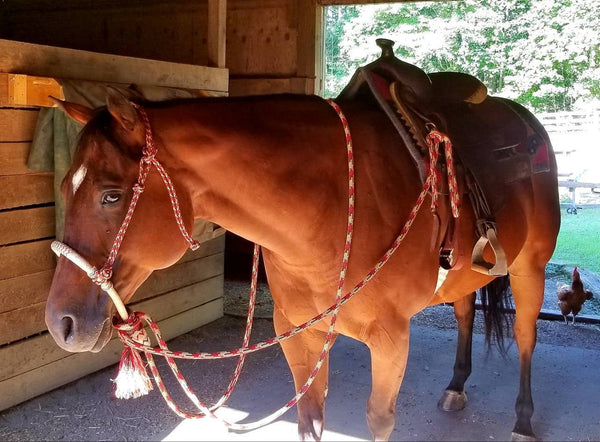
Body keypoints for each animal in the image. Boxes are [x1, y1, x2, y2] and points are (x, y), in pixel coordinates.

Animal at [44, 82, 560, 438]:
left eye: (111, 195)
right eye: (65, 185)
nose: (60, 323)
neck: (328, 213)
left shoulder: (391, 341)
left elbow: (379, 420)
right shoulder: (298, 333)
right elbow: (310, 416)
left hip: (530, 269)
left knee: (525, 336)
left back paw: (524, 420)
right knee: (466, 310)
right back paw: (456, 387)